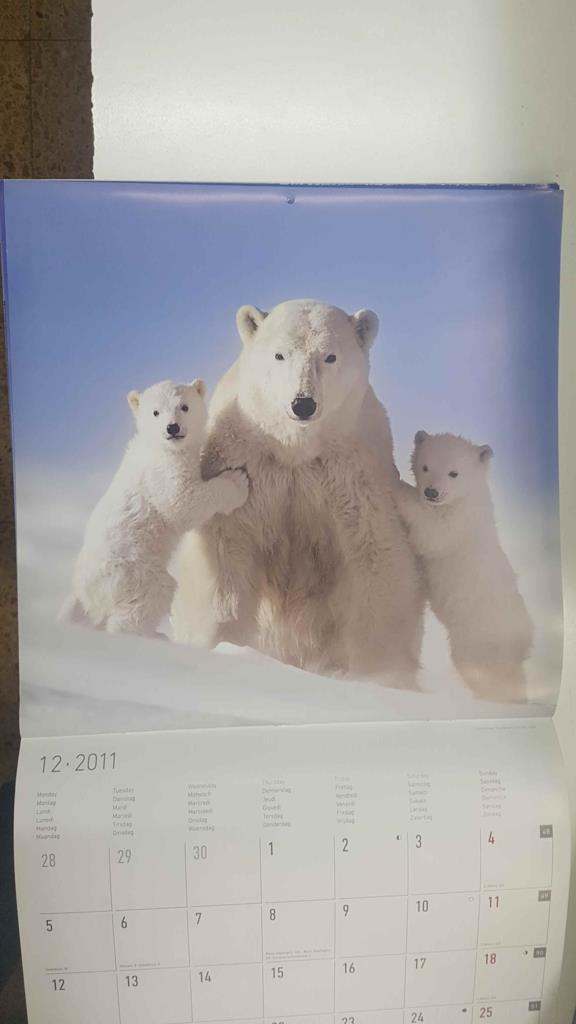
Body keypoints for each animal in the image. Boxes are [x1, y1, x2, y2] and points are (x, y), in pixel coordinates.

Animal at [61, 379, 249, 637]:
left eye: (184, 406)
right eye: (156, 412)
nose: (172, 428)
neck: (156, 446)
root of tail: (86, 592)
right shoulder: (161, 473)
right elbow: (184, 502)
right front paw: (237, 481)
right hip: (134, 570)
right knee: (151, 596)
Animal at [171, 299, 425, 686]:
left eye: (330, 356)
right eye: (280, 354)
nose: (303, 404)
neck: (295, 449)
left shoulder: (353, 472)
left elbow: (376, 556)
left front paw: (380, 674)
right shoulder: (246, 463)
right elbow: (226, 548)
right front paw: (222, 643)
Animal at [396, 430, 534, 702]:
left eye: (454, 473)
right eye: (425, 466)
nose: (431, 492)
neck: (468, 499)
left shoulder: (458, 522)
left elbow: (431, 533)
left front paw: (395, 483)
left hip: (479, 633)